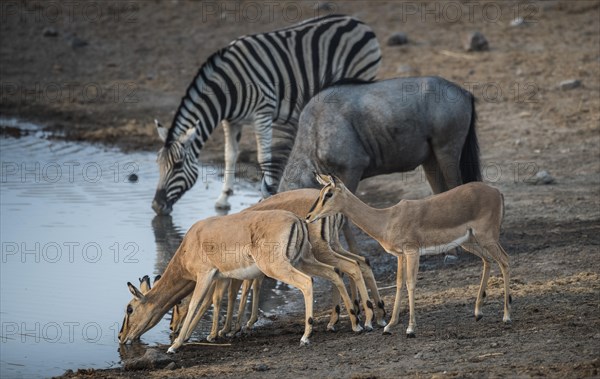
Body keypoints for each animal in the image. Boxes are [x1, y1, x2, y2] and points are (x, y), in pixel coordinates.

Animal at [152, 14, 382, 215]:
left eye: (178, 165)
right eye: (157, 165)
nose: (156, 206)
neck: (226, 88)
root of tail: (357, 21)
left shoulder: (262, 112)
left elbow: (263, 156)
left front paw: (268, 194)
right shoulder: (231, 121)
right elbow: (230, 155)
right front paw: (224, 198)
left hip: (360, 74)